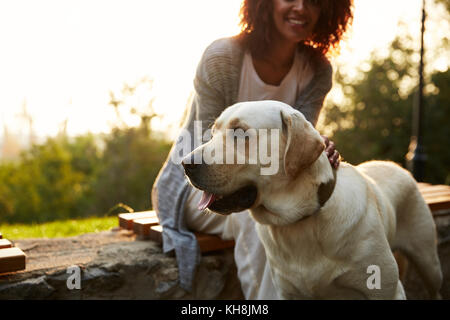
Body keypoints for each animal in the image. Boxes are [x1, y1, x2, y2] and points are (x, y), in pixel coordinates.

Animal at [181, 100, 442, 300]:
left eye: (240, 133)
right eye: (212, 133)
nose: (185, 163)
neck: (300, 221)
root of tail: (396, 165)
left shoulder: (387, 290)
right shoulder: (287, 293)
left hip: (429, 262)